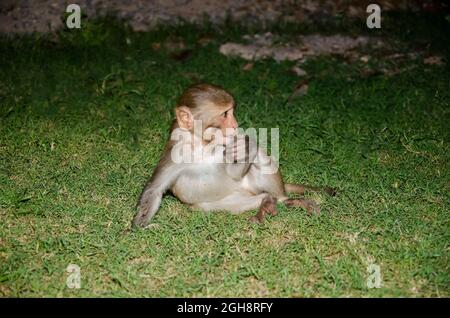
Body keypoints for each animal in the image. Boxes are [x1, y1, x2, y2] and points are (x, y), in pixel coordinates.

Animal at [132, 82, 336, 226]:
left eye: (231, 112)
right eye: (224, 114)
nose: (235, 124)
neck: (201, 144)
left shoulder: (227, 144)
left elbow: (236, 169)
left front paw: (248, 147)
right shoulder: (175, 152)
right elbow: (155, 189)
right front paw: (137, 229)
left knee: (261, 163)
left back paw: (284, 200)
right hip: (228, 200)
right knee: (212, 206)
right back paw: (267, 202)